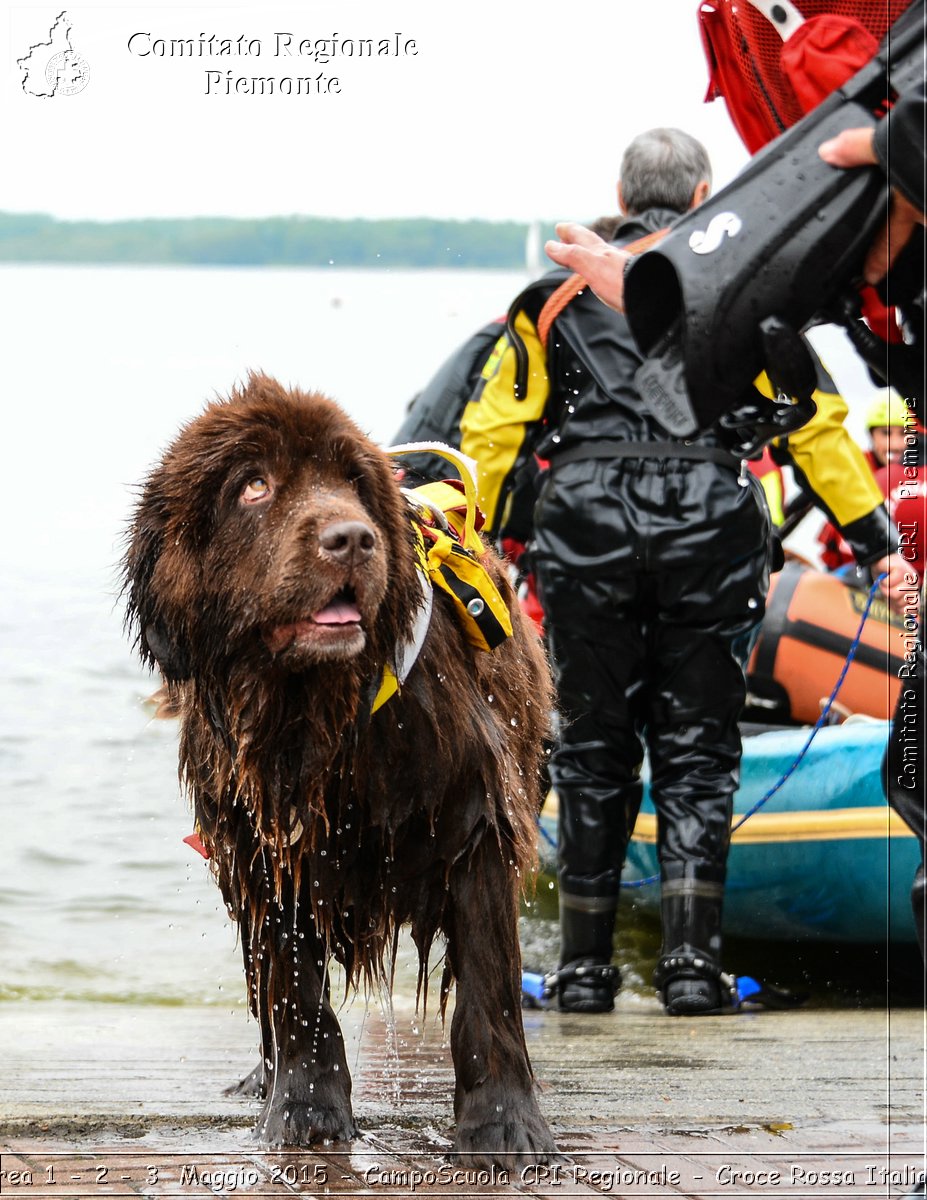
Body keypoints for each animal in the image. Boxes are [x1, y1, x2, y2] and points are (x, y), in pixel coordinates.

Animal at [123, 372, 557, 1161]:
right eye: (253, 485)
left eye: (353, 480)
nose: (351, 538)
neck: (317, 719)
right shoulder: (267, 844)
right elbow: (294, 988)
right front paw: (303, 1112)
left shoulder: (474, 817)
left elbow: (489, 986)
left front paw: (505, 1127)